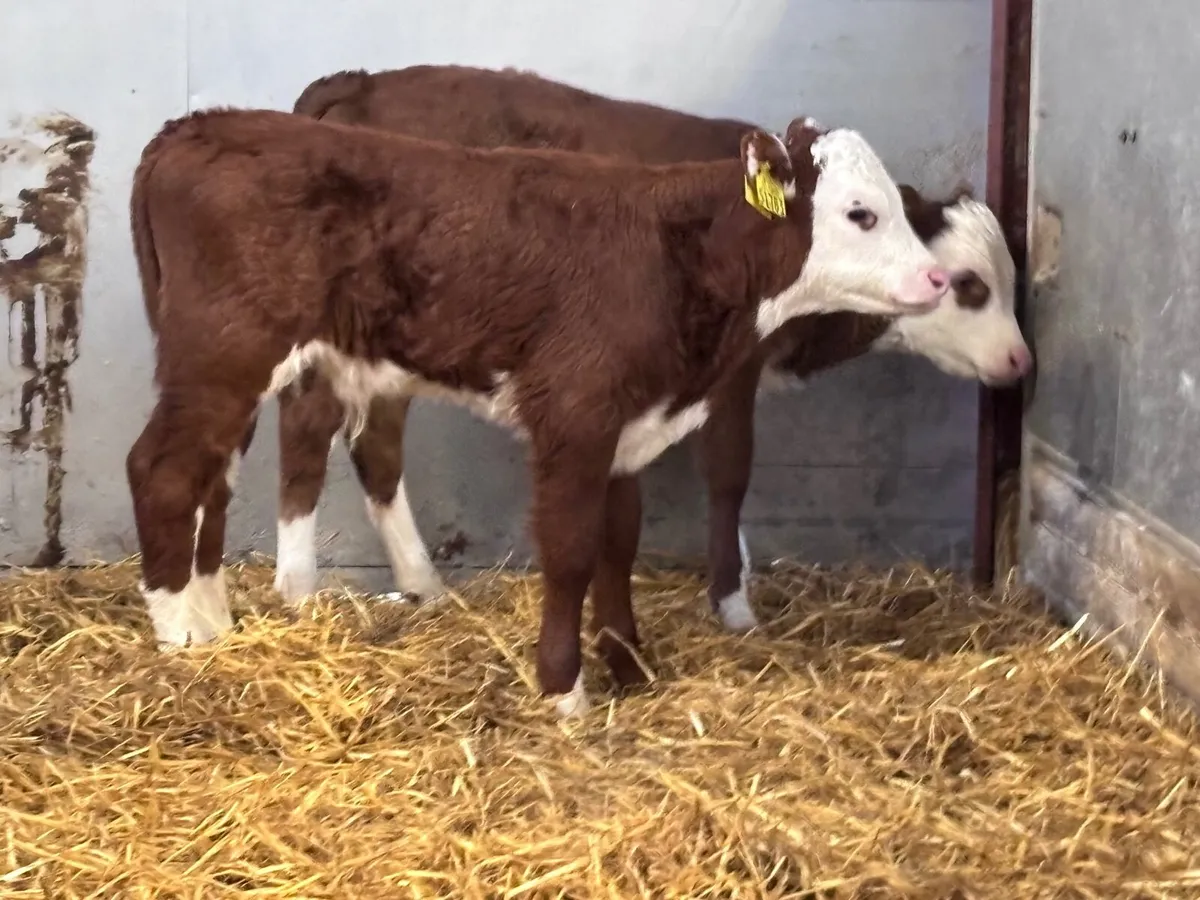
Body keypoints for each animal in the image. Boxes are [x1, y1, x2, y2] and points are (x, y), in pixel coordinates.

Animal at [126, 104, 949, 715]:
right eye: (861, 214)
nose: (938, 279)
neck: (673, 256)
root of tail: (191, 128)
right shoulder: (575, 413)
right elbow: (571, 549)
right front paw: (565, 689)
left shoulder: (631, 423)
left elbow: (619, 542)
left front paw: (629, 665)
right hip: (223, 353)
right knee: (160, 471)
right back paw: (178, 638)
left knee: (213, 477)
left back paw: (214, 623)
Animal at [245, 65, 1030, 633]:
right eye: (970, 284)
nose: (1022, 361)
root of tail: (358, 83)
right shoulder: (733, 370)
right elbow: (730, 473)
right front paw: (734, 605)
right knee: (310, 428)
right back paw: (299, 591)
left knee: (374, 446)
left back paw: (423, 585)